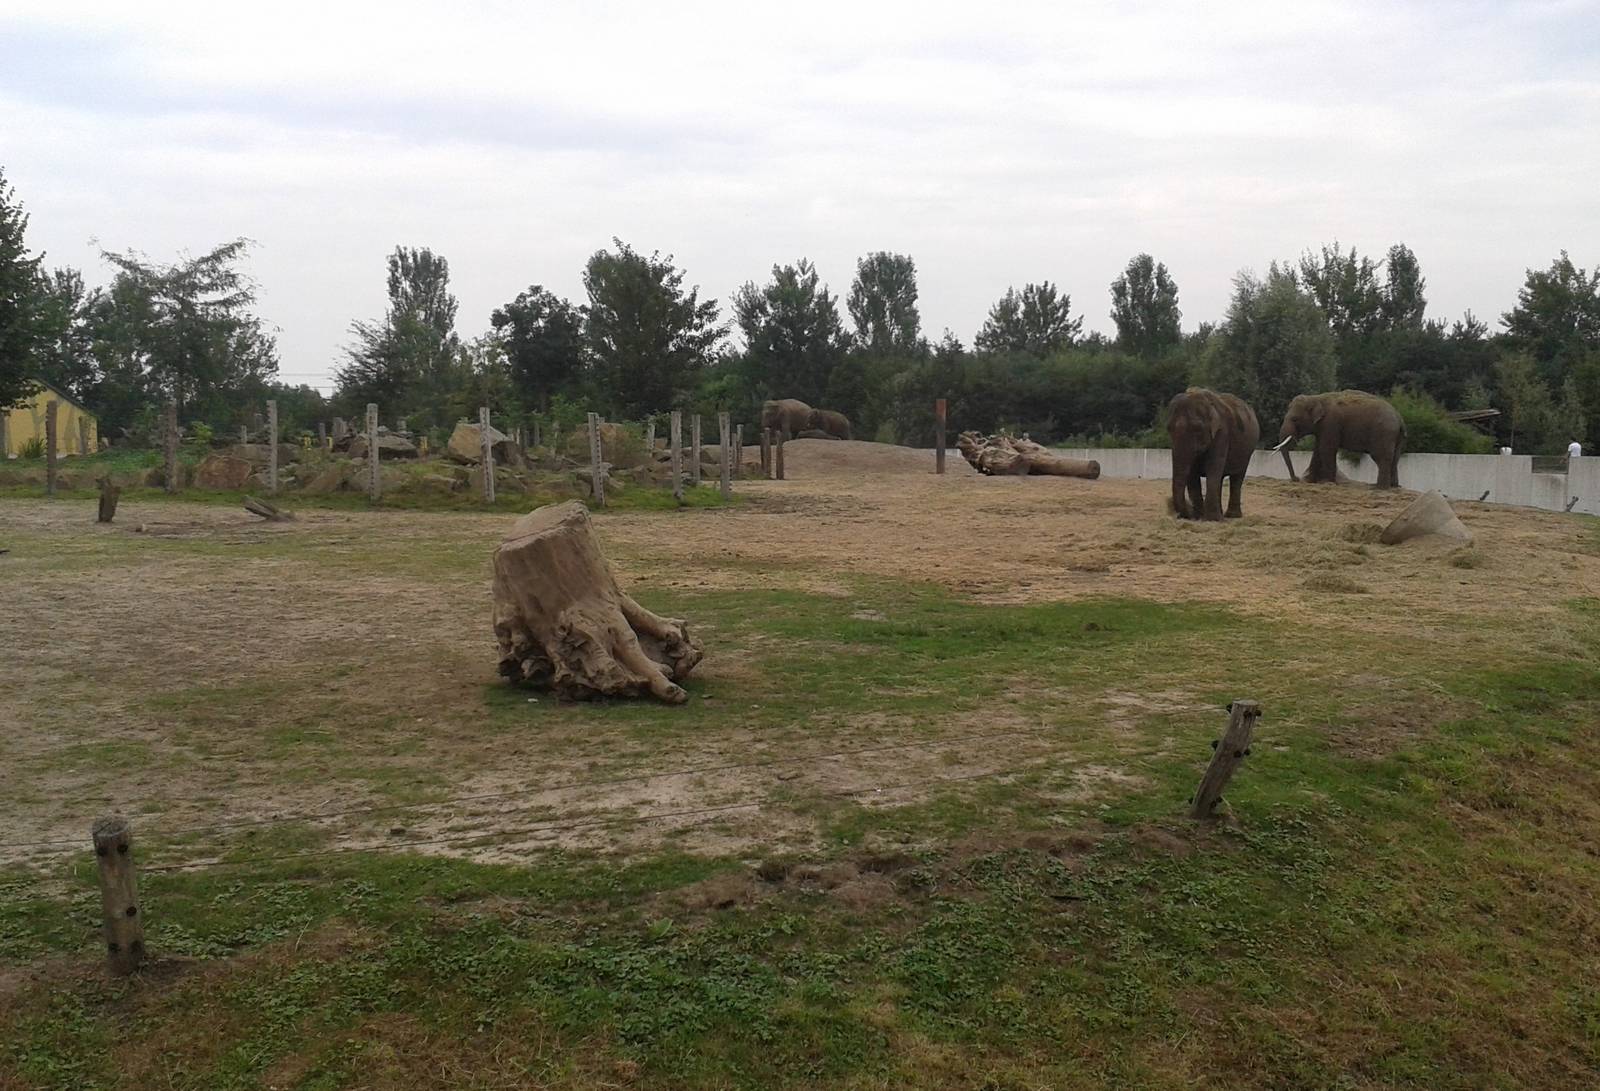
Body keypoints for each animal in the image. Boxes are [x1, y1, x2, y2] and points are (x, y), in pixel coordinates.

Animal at [1167, 387, 1261, 520]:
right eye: (1169, 429)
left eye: (1197, 429)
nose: (1186, 515)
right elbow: (1192, 474)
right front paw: (1199, 517)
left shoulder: (1222, 433)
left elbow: (1212, 467)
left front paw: (1212, 519)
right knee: (1220, 478)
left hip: (1247, 451)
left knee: (1237, 478)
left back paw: (1232, 516)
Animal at [1273, 390, 1405, 488]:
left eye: (1295, 419)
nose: (1295, 479)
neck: (1316, 398)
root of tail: (1400, 419)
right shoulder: (1322, 427)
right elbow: (1318, 449)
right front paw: (1309, 481)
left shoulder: (1331, 423)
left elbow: (1326, 449)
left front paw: (1327, 482)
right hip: (1396, 437)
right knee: (1395, 458)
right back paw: (1393, 486)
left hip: (1383, 433)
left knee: (1381, 457)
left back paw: (1379, 487)